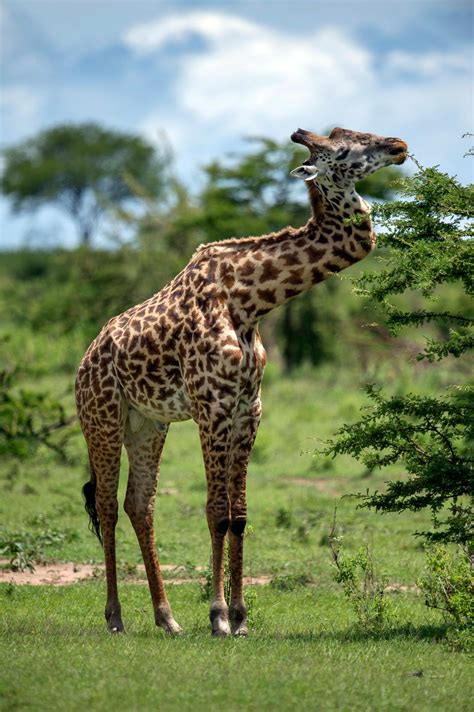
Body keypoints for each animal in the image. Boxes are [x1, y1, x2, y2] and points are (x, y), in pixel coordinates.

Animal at [76, 126, 407, 637]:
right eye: (346, 148)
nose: (399, 146)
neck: (249, 301)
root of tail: (84, 361)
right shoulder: (211, 407)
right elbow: (216, 512)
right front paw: (217, 618)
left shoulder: (248, 408)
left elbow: (240, 516)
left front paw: (241, 617)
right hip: (102, 419)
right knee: (109, 505)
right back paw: (115, 618)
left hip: (148, 424)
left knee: (139, 504)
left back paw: (167, 618)